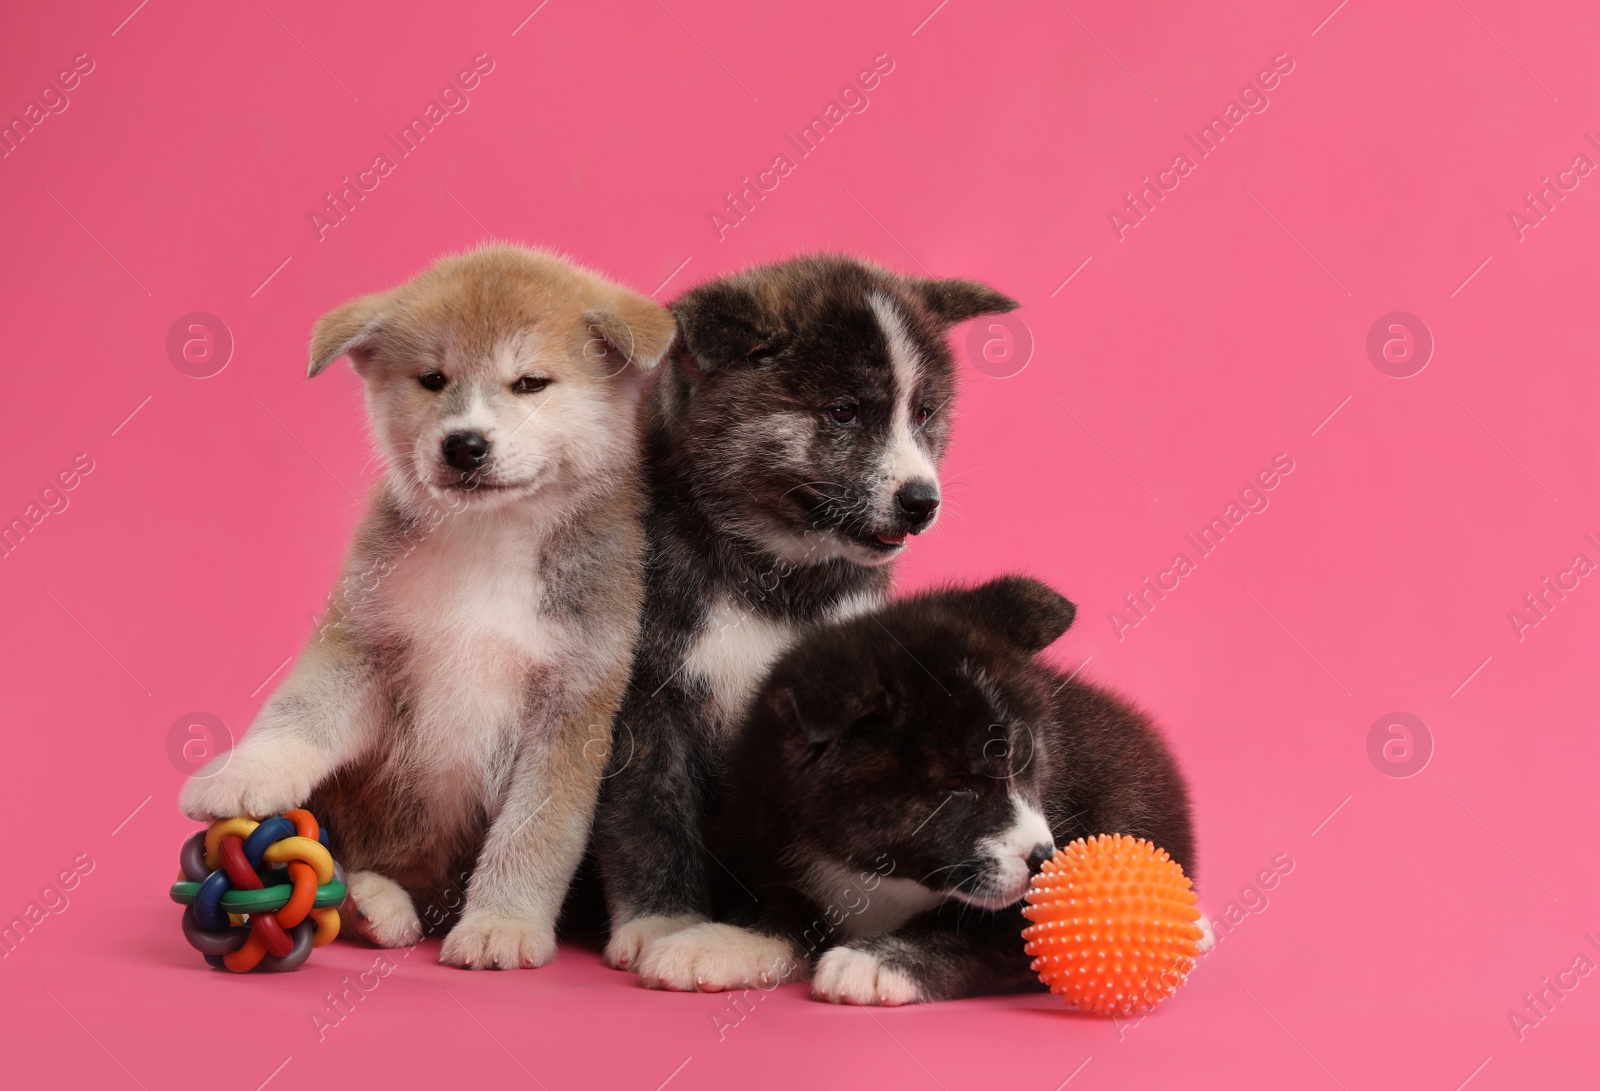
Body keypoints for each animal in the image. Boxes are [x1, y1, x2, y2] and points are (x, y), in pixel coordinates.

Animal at [180, 241, 668, 966]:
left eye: (531, 383)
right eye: (433, 379)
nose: (465, 444)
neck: (489, 539)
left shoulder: (573, 704)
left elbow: (534, 836)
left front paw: (502, 923)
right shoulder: (366, 643)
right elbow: (301, 713)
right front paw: (246, 770)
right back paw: (371, 900)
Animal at [688, 579, 1203, 1004]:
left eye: (1024, 759)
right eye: (956, 783)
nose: (1044, 859)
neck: (882, 877)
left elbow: (976, 932)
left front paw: (877, 960)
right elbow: (780, 911)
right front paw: (712, 943)